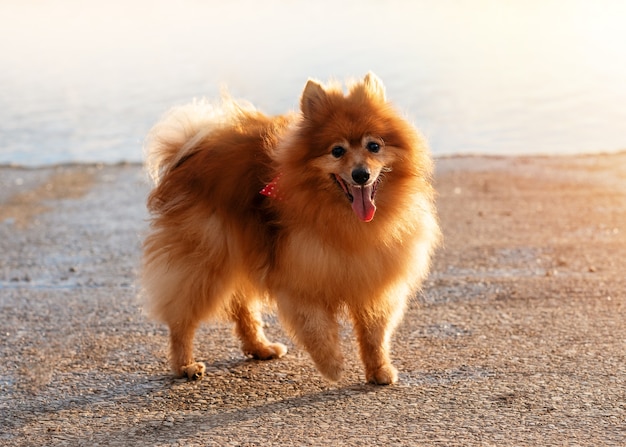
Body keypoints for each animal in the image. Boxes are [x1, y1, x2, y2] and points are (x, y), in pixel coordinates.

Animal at [141, 73, 438, 384]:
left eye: (374, 146)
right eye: (337, 151)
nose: (361, 175)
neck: (347, 223)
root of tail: (190, 150)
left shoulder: (375, 278)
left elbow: (374, 333)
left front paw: (379, 369)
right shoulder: (301, 274)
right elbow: (315, 327)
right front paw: (332, 365)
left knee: (242, 305)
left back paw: (259, 347)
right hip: (205, 260)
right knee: (182, 317)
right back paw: (185, 365)